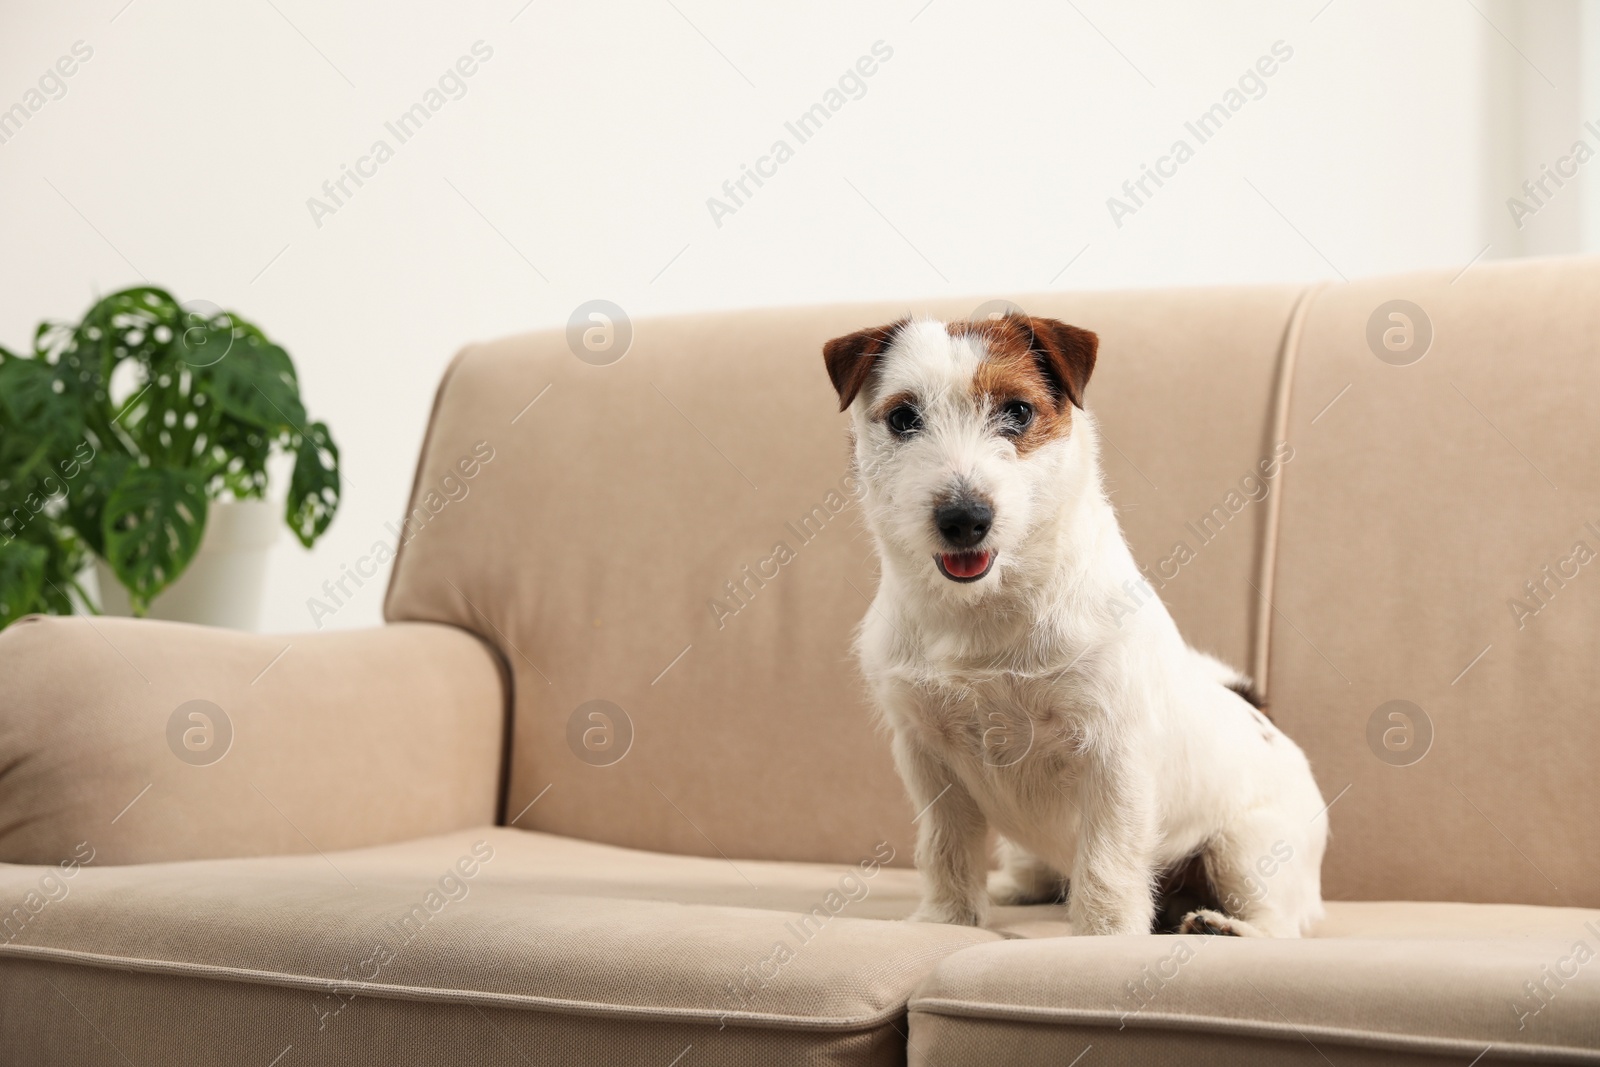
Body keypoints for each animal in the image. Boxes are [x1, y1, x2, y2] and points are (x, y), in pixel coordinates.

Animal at [825, 313, 1324, 940]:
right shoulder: (927, 758)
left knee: (1279, 922)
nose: (964, 519)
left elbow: (1108, 858)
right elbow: (945, 848)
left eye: (1017, 412)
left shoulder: (1113, 754)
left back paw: (1223, 927)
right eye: (903, 418)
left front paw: (1104, 936)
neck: (986, 611)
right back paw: (1021, 887)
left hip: (1243, 849)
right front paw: (946, 920)